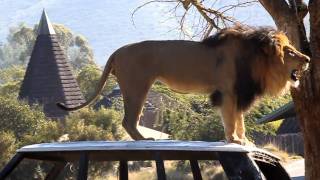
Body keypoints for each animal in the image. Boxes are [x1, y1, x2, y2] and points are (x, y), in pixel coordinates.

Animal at [56, 26, 308, 145]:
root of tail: (117, 51)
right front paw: (234, 140)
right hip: (137, 87)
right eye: (290, 51)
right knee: (128, 120)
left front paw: (243, 140)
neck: (255, 59)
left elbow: (240, 120)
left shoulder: (238, 92)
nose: (307, 58)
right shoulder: (228, 91)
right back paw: (144, 140)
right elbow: (230, 118)